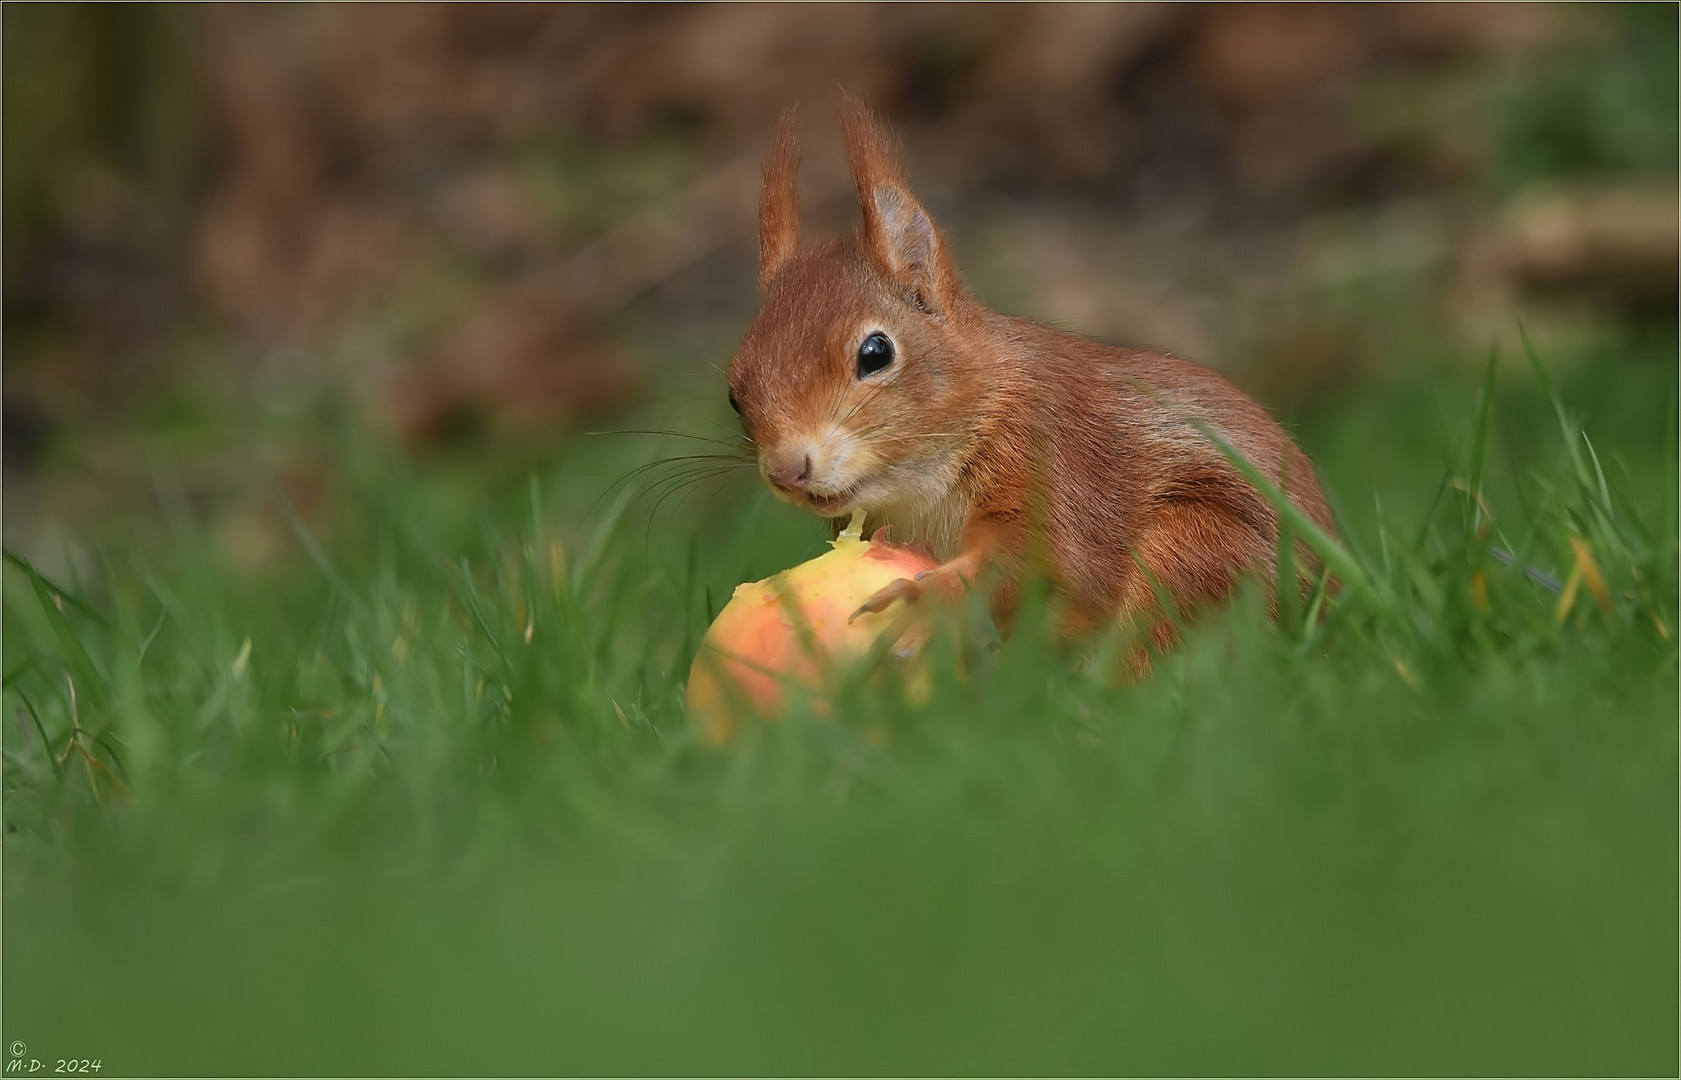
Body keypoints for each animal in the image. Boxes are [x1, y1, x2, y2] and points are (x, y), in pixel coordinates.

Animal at [722, 96, 1338, 639]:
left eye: (876, 353)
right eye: (733, 392)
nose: (787, 471)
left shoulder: (1053, 457)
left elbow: (1042, 561)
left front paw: (924, 601)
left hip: (1203, 551)